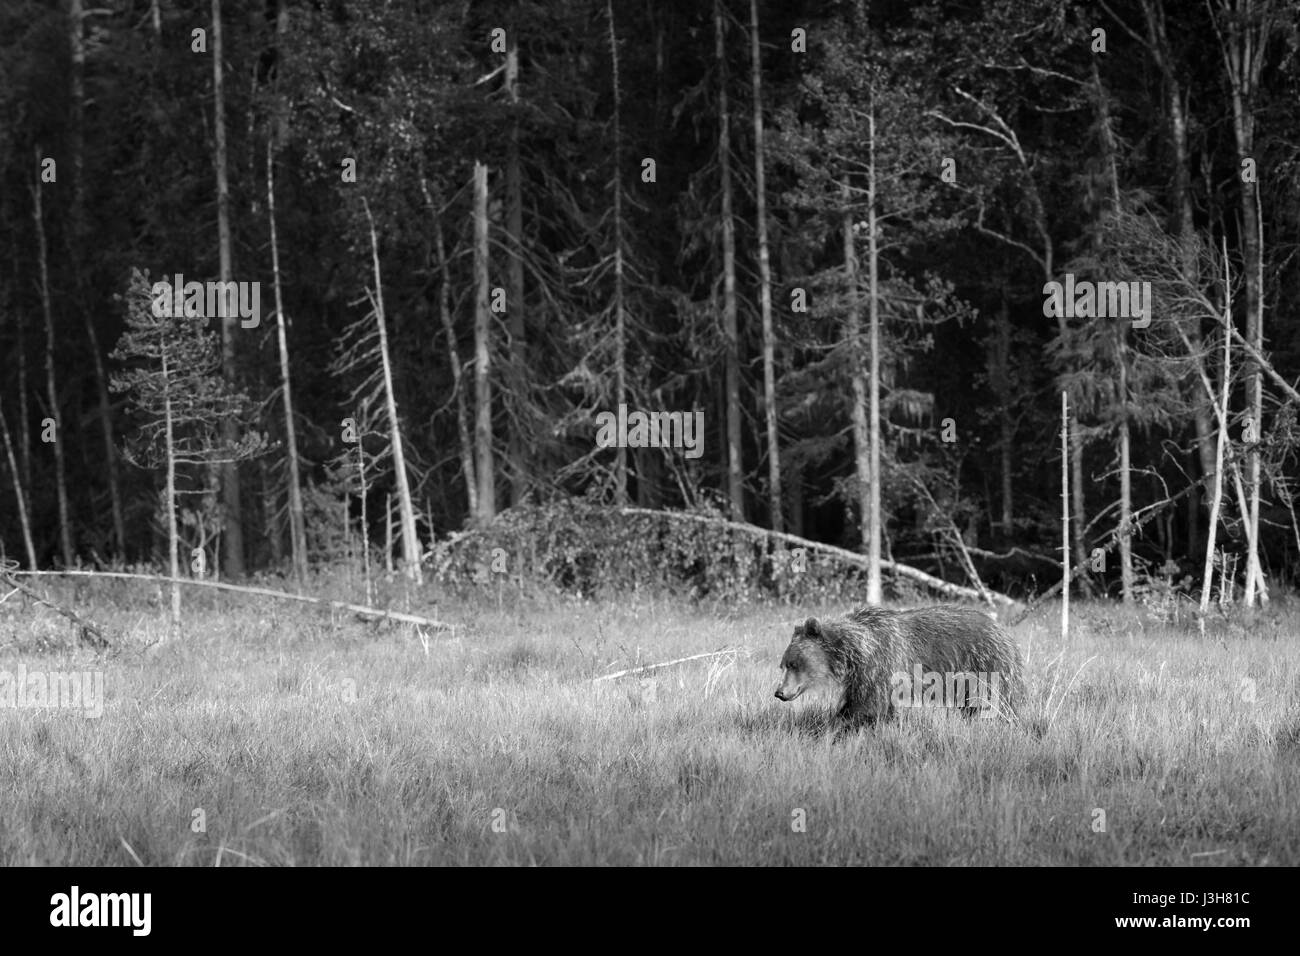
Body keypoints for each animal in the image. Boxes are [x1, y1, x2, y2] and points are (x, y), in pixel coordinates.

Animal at [769, 606, 1024, 723]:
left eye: (793, 663)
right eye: (783, 664)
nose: (779, 692)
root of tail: (1004, 631)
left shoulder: (880, 667)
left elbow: (865, 706)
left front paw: (835, 725)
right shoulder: (863, 677)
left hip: (985, 665)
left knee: (993, 703)